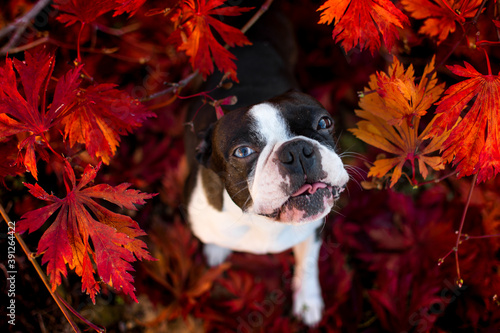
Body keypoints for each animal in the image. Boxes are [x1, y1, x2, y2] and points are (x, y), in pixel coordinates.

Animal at [182, 6, 350, 326]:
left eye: (324, 123)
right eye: (243, 151)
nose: (296, 151)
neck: (260, 222)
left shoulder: (313, 230)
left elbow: (307, 263)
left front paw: (308, 302)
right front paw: (215, 248)